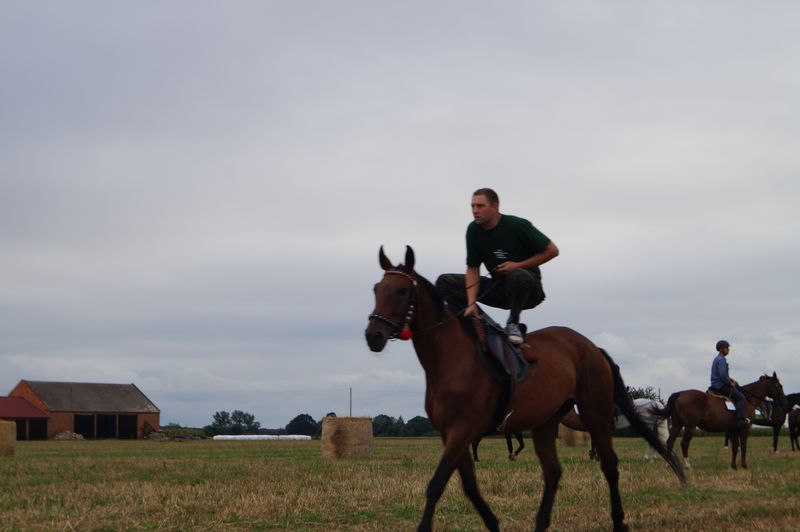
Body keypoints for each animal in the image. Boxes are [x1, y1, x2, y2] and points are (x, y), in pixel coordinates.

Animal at [362, 248, 680, 532]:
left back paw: (618, 521)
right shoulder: (449, 433)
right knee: (553, 472)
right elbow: (469, 485)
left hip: (596, 415)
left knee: (610, 466)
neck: (450, 358)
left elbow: (437, 484)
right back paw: (541, 524)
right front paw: (493, 523)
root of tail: (591, 347)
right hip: (545, 423)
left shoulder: (461, 430)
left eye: (402, 290)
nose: (373, 335)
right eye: (376, 289)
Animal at [648, 374, 788, 470]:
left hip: (678, 424)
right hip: (690, 426)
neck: (748, 399)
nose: (783, 400)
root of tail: (680, 393)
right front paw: (744, 465)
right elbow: (743, 446)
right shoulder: (744, 428)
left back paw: (670, 464)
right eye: (779, 386)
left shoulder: (733, 429)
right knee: (684, 443)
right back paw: (688, 465)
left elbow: (735, 447)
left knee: (670, 441)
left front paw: (733, 466)